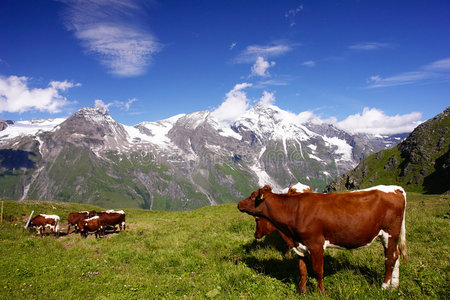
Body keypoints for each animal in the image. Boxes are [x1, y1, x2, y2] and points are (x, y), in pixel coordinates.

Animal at [239, 184, 408, 294]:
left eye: (253, 196)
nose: (239, 204)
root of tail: (396, 189)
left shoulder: (316, 245)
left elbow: (318, 271)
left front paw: (321, 292)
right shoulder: (300, 246)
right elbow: (303, 271)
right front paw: (302, 292)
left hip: (389, 232)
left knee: (389, 259)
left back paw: (384, 287)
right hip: (391, 236)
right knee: (396, 255)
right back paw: (395, 285)